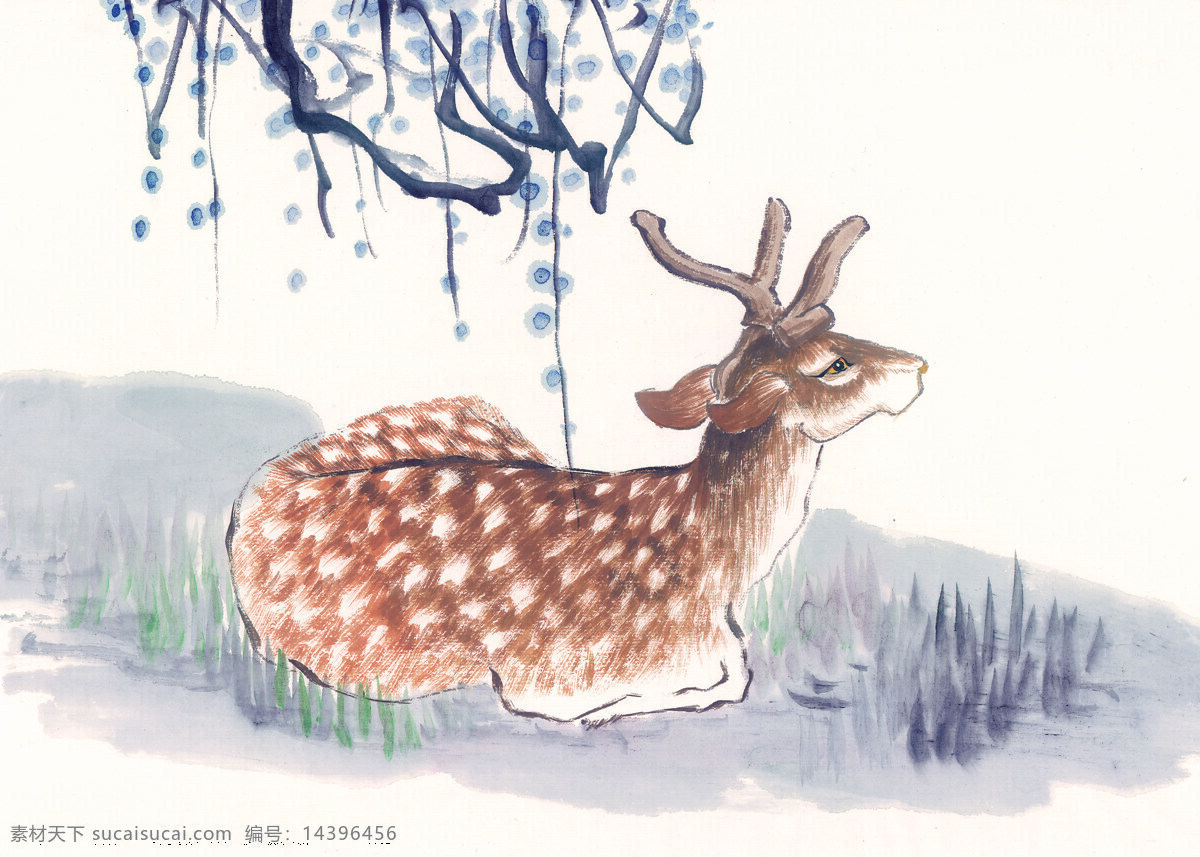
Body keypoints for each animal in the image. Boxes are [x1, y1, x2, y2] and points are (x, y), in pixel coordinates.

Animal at [227, 197, 927, 727]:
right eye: (834, 363)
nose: (919, 365)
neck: (713, 568)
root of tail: (256, 490)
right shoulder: (547, 666)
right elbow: (705, 685)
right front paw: (609, 711)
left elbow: (735, 673)